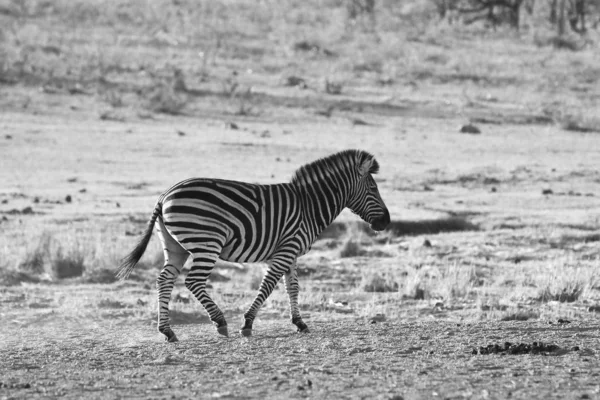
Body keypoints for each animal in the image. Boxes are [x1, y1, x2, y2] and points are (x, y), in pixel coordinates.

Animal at [118, 148, 392, 342]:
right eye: (373, 188)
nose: (386, 222)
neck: (309, 205)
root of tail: (165, 195)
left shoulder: (291, 252)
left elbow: (292, 287)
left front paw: (299, 323)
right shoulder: (286, 249)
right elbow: (268, 285)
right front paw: (248, 323)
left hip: (175, 246)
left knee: (164, 280)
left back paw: (167, 331)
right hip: (207, 243)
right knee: (193, 281)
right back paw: (219, 322)